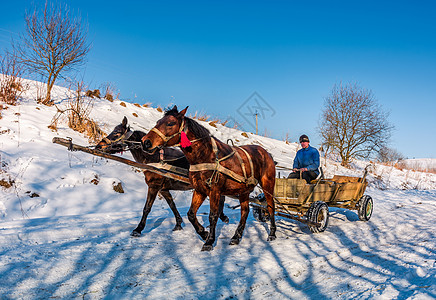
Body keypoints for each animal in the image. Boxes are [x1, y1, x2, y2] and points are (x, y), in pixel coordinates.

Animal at [96, 117, 230, 237]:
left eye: (117, 133)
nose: (98, 146)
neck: (153, 157)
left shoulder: (154, 186)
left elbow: (147, 208)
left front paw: (138, 229)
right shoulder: (163, 189)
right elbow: (172, 205)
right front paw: (178, 224)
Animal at [142, 106, 276, 251]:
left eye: (170, 123)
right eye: (158, 121)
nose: (145, 142)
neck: (206, 156)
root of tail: (266, 153)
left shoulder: (214, 191)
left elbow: (213, 216)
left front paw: (209, 241)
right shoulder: (200, 190)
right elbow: (191, 214)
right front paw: (203, 233)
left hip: (268, 185)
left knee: (270, 207)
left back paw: (272, 233)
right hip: (243, 190)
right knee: (244, 212)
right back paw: (236, 237)